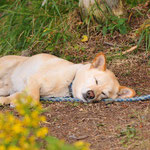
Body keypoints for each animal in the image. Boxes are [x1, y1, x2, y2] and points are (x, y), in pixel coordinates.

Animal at [0, 52, 135, 105]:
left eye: (103, 93)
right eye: (96, 80)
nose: (91, 94)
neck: (69, 82)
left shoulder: (25, 89)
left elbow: (18, 96)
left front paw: (8, 101)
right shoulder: (34, 79)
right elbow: (35, 98)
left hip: (5, 88)